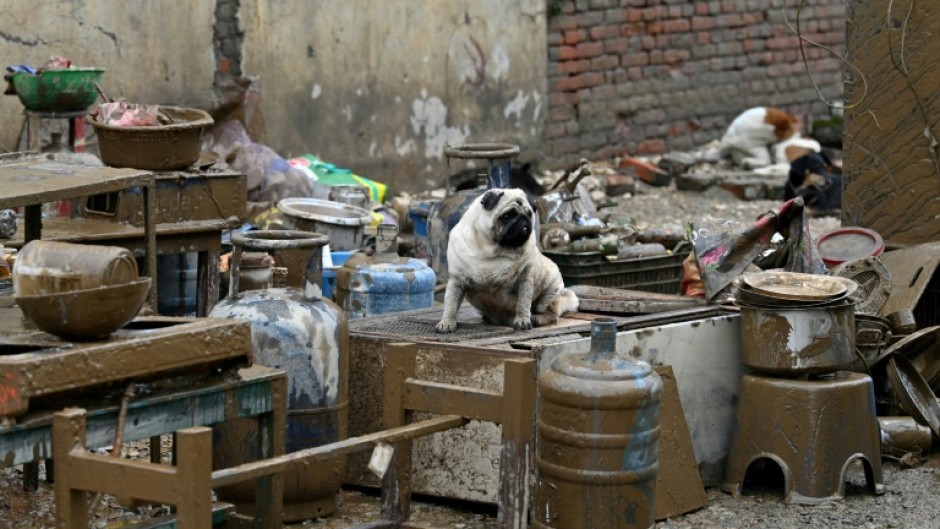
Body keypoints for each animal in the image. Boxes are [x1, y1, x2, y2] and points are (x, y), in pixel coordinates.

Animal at [436, 188, 580, 332]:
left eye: (529, 214)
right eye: (508, 216)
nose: (523, 220)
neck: (493, 250)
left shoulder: (525, 278)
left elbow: (523, 302)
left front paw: (522, 320)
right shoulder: (457, 279)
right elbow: (450, 304)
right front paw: (447, 322)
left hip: (551, 290)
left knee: (550, 313)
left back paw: (537, 318)